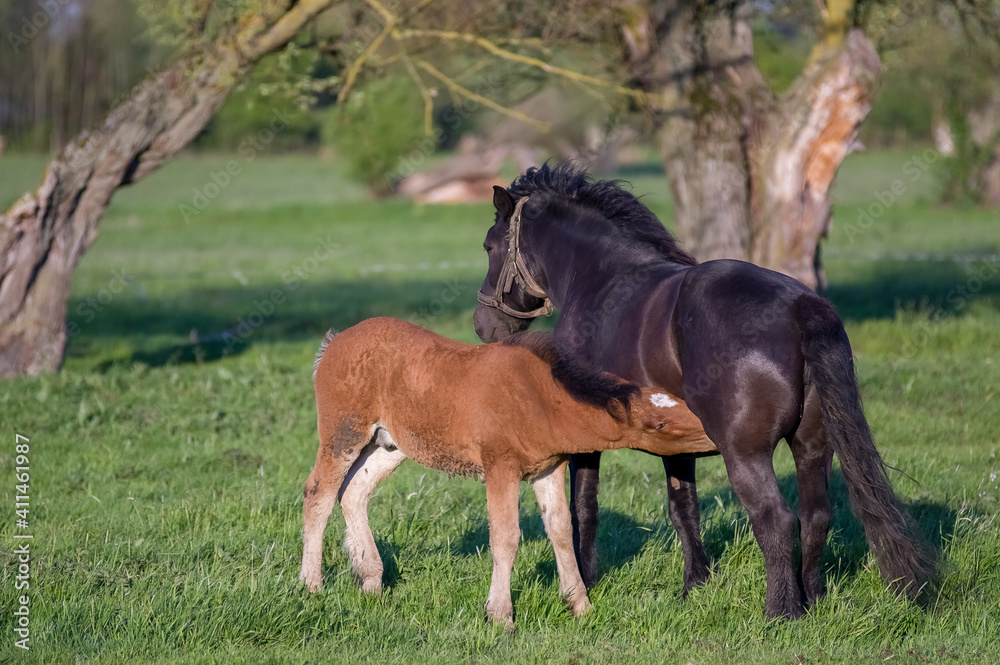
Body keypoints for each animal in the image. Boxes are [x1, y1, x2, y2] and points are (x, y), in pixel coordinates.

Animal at [300, 316, 716, 628]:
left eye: (680, 404)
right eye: (659, 425)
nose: (713, 438)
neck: (538, 398)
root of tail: (334, 343)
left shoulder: (549, 468)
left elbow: (561, 531)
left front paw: (580, 605)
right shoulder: (501, 468)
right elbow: (505, 538)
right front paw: (500, 616)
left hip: (391, 444)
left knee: (354, 492)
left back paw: (371, 580)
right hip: (343, 434)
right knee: (318, 494)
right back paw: (311, 586)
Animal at [472, 163, 932, 620]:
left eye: (490, 245)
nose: (482, 325)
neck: (603, 282)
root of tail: (799, 305)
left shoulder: (586, 440)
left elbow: (582, 510)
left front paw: (586, 580)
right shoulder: (676, 446)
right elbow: (684, 509)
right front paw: (694, 585)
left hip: (746, 455)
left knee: (776, 520)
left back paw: (781, 612)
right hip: (812, 447)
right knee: (815, 516)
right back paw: (813, 600)